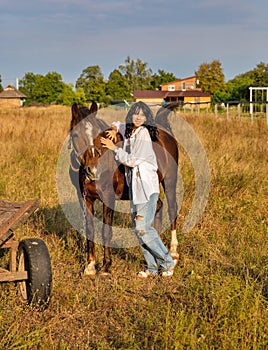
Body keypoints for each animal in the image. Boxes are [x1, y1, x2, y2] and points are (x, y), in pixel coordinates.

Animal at [69, 102, 179, 276]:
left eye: (98, 135)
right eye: (75, 135)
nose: (92, 170)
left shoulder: (108, 197)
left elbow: (106, 231)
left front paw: (106, 267)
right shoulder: (85, 199)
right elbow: (90, 230)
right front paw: (90, 266)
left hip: (170, 181)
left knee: (173, 209)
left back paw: (173, 252)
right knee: (158, 206)